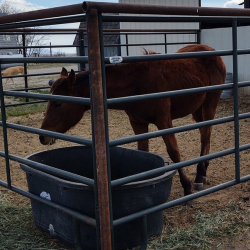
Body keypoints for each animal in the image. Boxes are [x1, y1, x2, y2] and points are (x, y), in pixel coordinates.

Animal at [39, 45, 227, 197]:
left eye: (58, 103)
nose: (43, 136)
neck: (136, 82)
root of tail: (212, 52)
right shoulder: (138, 123)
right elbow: (143, 152)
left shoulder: (164, 121)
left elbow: (174, 152)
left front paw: (186, 186)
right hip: (197, 107)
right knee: (205, 133)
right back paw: (203, 169)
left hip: (210, 102)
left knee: (206, 134)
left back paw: (199, 175)